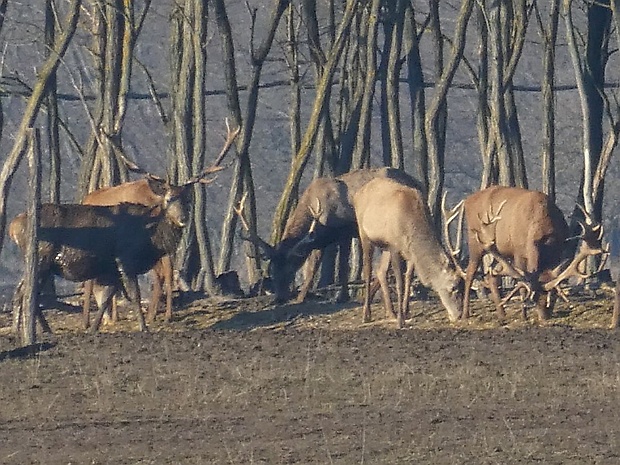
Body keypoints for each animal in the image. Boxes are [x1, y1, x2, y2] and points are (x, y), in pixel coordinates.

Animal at [237, 167, 422, 304]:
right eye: (272, 269)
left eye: (291, 267)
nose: (280, 298)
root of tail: (418, 183)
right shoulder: (319, 240)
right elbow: (312, 266)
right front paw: (303, 296)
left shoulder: (344, 231)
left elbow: (339, 265)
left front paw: (340, 297)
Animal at [352, 177, 462, 326]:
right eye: (453, 287)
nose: (458, 315)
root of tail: (357, 193)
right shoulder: (394, 247)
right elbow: (400, 282)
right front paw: (400, 320)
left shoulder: (409, 252)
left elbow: (408, 278)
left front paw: (406, 312)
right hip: (364, 234)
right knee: (368, 269)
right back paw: (366, 315)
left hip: (385, 246)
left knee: (381, 271)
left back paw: (390, 313)